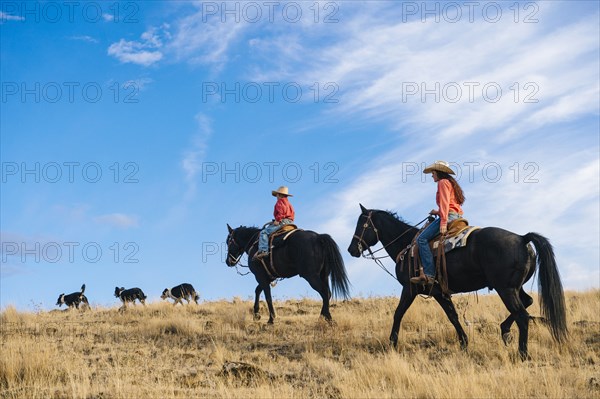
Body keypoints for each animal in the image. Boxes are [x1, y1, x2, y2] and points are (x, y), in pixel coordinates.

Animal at [346, 206, 568, 360]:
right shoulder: (440, 292)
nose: (351, 249)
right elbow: (452, 316)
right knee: (527, 303)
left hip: (505, 289)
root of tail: (522, 238)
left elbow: (398, 313)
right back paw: (505, 331)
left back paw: (522, 353)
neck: (408, 245)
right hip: (514, 287)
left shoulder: (410, 289)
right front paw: (464, 343)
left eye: (362, 224)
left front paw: (392, 343)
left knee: (522, 316)